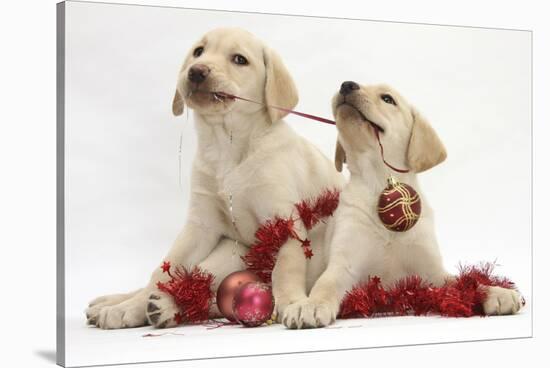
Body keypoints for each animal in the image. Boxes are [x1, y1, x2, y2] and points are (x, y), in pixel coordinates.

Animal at [85, 27, 344, 330]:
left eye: (239, 59)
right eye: (198, 52)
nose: (197, 71)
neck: (226, 146)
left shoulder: (285, 220)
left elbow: (286, 267)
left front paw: (293, 302)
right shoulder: (200, 225)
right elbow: (164, 270)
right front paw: (131, 304)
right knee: (181, 283)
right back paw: (123, 304)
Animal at [282, 82, 524, 328]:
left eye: (387, 99)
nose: (347, 85)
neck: (380, 179)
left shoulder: (433, 272)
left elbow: (465, 282)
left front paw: (494, 291)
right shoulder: (343, 264)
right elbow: (325, 285)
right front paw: (310, 305)